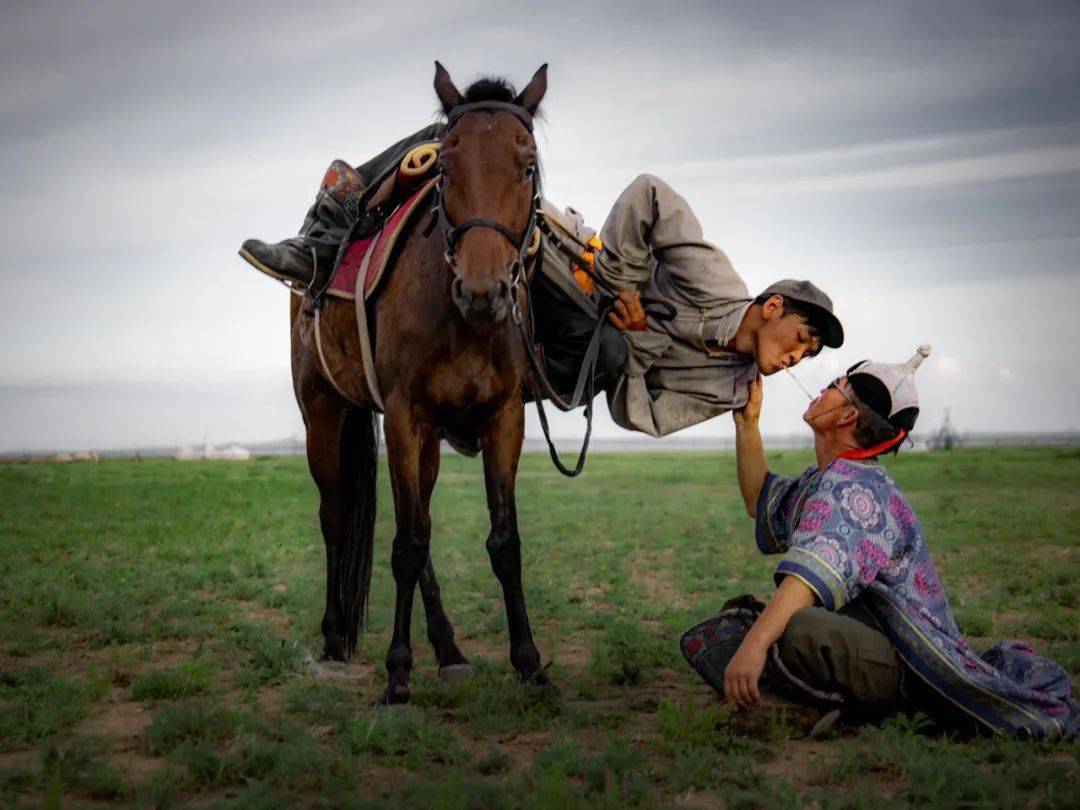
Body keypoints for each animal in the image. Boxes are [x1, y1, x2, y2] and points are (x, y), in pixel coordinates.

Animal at [287, 61, 548, 704]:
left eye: (527, 165)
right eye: (446, 168)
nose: (482, 290)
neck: (463, 322)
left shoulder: (504, 417)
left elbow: (502, 543)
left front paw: (530, 664)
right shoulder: (405, 414)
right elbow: (405, 547)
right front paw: (398, 676)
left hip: (425, 437)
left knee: (421, 518)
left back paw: (449, 649)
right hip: (323, 411)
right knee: (337, 514)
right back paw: (335, 639)